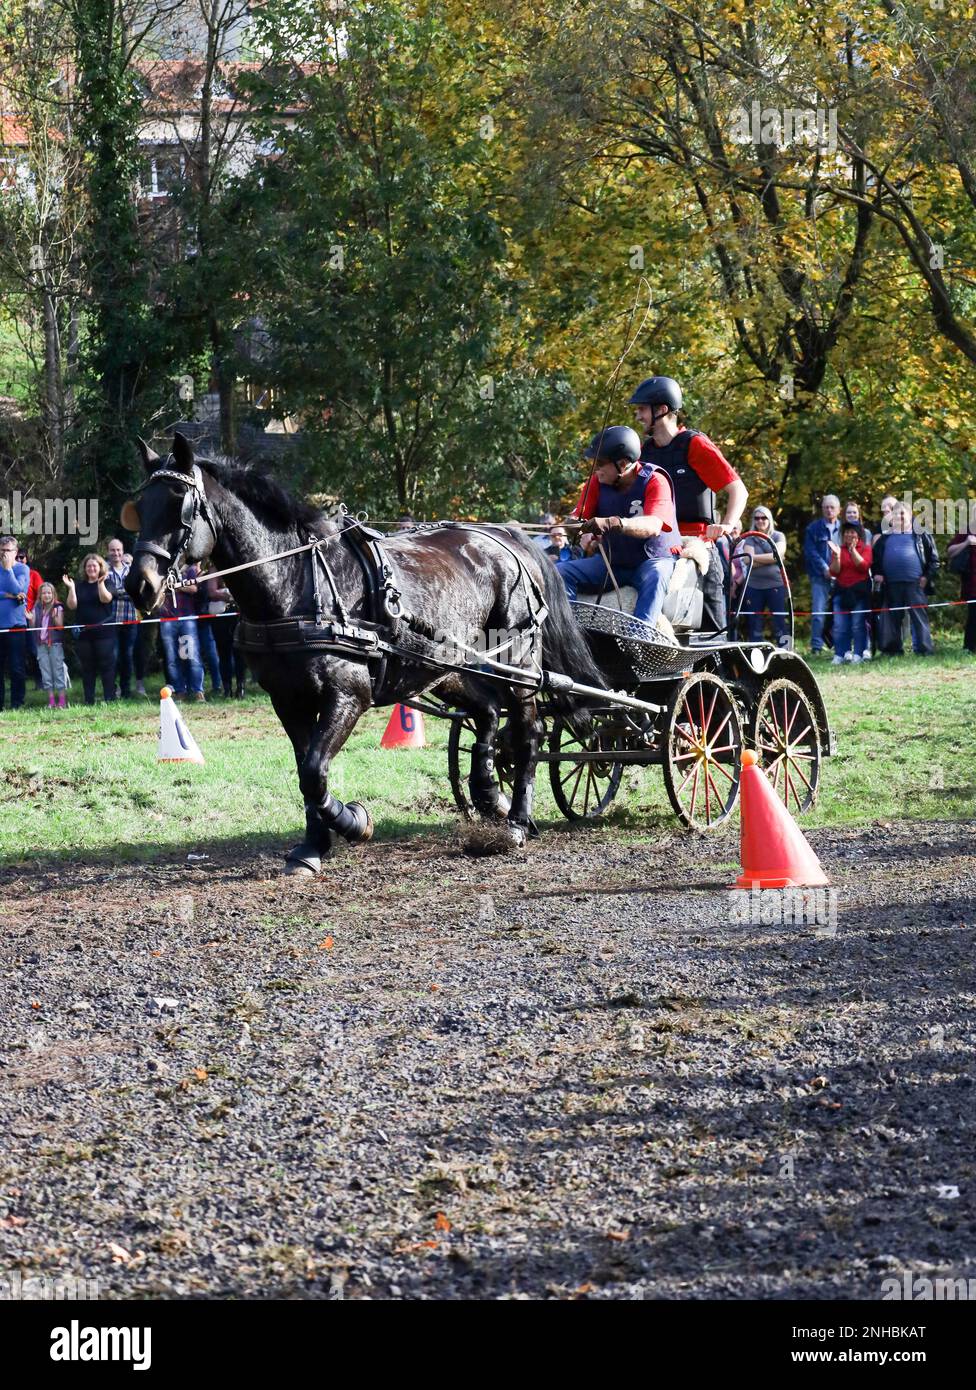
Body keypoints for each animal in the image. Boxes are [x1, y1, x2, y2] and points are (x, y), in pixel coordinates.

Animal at [123, 433, 606, 873]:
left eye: (180, 505)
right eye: (140, 507)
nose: (138, 585)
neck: (298, 581)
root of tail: (505, 537)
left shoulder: (348, 694)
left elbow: (315, 770)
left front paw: (354, 822)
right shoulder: (287, 699)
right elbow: (306, 772)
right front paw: (313, 846)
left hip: (519, 667)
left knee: (529, 733)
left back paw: (518, 820)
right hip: (447, 668)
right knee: (486, 713)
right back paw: (489, 795)